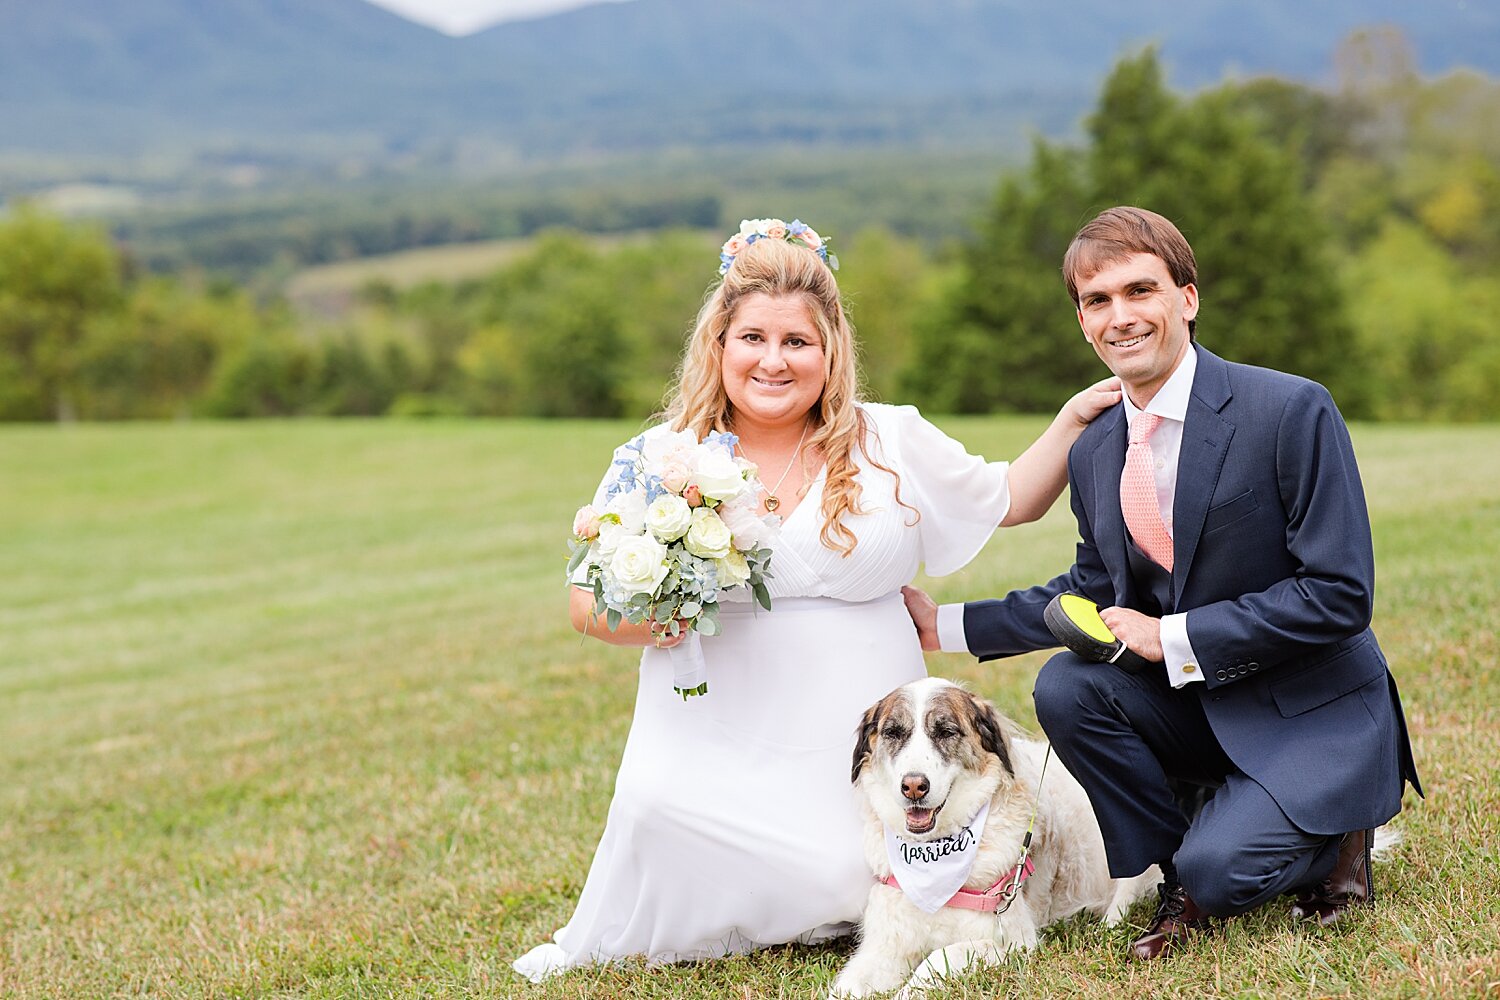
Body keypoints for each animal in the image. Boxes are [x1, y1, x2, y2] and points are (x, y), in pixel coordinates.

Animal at [828, 677, 1152, 995]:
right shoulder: (883, 948)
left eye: (946, 732)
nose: (914, 787)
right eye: (893, 733)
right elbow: (845, 987)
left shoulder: (1011, 942)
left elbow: (938, 958)